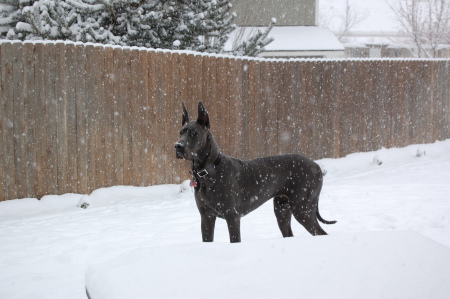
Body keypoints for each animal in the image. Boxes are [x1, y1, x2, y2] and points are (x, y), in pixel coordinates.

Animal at [174, 103, 336, 244]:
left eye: (194, 133)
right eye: (181, 132)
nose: (178, 146)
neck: (207, 171)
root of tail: (316, 166)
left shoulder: (232, 216)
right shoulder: (206, 217)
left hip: (302, 208)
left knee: (321, 232)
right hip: (282, 209)